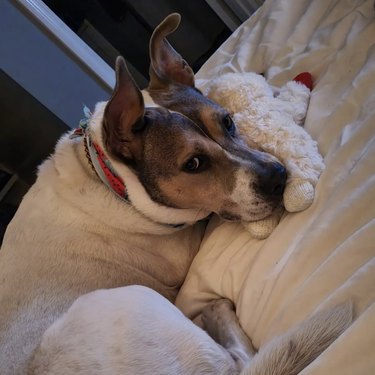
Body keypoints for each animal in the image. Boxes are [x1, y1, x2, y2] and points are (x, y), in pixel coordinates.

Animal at [0, 13, 352, 374]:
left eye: (227, 122)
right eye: (194, 164)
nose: (278, 178)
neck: (108, 175)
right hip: (135, 299)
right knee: (238, 361)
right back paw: (216, 313)